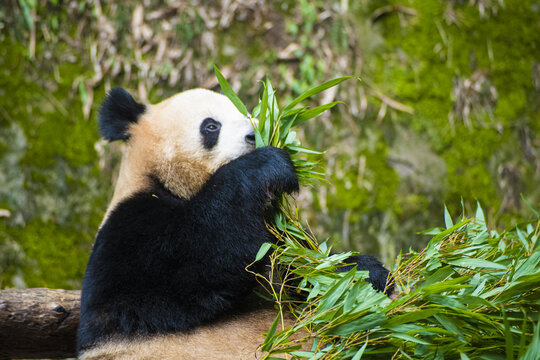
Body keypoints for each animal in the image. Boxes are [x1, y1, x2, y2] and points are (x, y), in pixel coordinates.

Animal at [78, 86, 390, 358]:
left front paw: (364, 274)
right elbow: (196, 261)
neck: (169, 183)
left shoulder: (276, 238)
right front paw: (267, 165)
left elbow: (302, 270)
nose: (255, 135)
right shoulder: (129, 230)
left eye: (248, 113)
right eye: (211, 126)